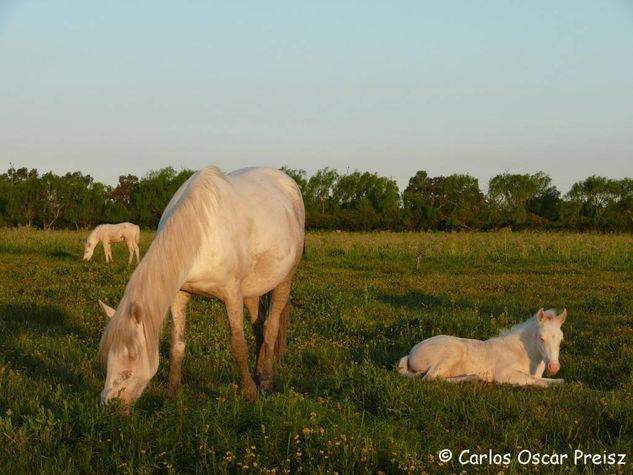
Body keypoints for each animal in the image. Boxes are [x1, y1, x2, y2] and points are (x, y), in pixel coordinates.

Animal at [98, 165, 304, 410]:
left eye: (131, 354)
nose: (109, 404)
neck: (201, 234)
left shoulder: (231, 294)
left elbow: (238, 345)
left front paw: (249, 393)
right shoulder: (180, 294)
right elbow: (177, 347)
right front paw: (171, 395)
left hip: (284, 281)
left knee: (270, 328)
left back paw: (265, 382)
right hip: (252, 290)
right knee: (258, 327)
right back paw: (258, 372)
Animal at [398, 308, 564, 386]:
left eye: (561, 339)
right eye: (541, 338)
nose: (554, 367)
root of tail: (411, 353)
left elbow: (554, 380)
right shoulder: (504, 374)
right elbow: (535, 381)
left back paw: (473, 377)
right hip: (452, 352)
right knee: (430, 378)